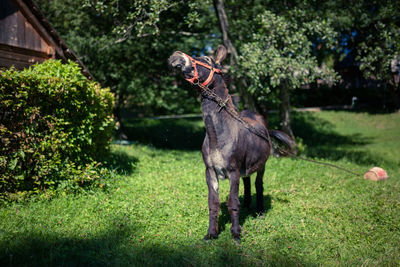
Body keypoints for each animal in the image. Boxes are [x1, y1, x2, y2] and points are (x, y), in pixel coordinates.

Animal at [167, 45, 292, 242]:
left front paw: (236, 234)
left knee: (259, 184)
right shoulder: (210, 171)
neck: (217, 134)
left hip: (262, 165)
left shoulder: (233, 171)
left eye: (205, 59)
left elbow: (232, 201)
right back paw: (247, 204)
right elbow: (213, 202)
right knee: (247, 181)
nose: (176, 55)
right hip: (245, 167)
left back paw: (259, 211)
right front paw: (211, 233)